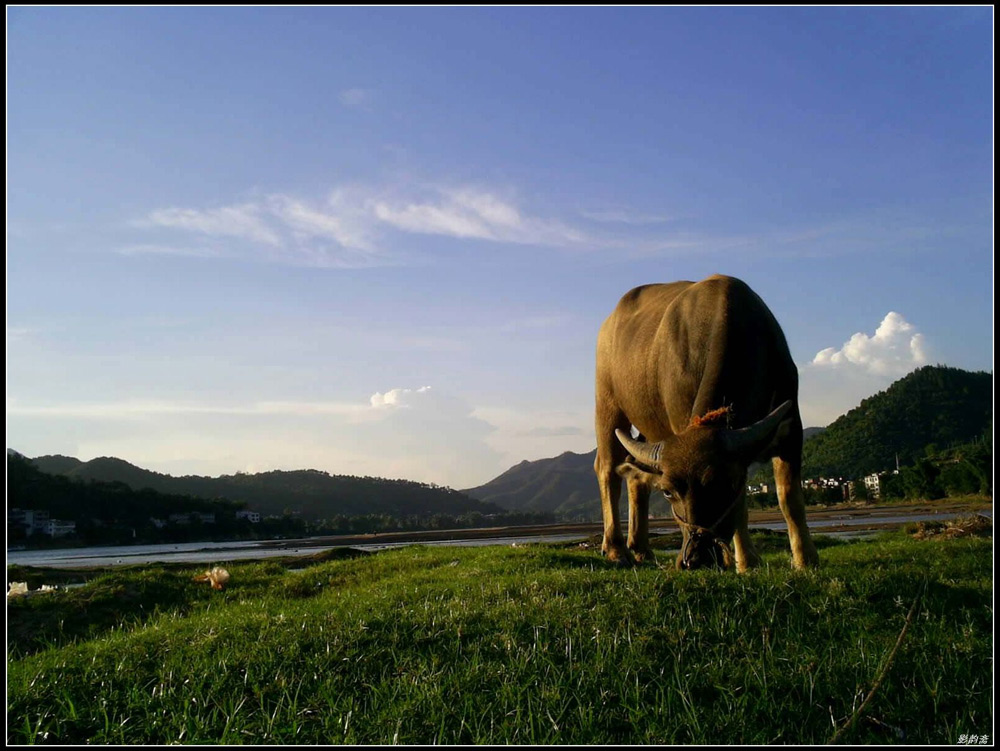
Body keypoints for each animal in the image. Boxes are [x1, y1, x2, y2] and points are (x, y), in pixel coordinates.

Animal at [592, 274, 820, 572]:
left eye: (725, 484)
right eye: (668, 492)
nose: (695, 559)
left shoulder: (791, 427)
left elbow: (789, 497)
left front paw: (805, 559)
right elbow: (742, 508)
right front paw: (746, 561)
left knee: (636, 475)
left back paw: (642, 549)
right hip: (607, 403)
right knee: (608, 468)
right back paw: (616, 550)